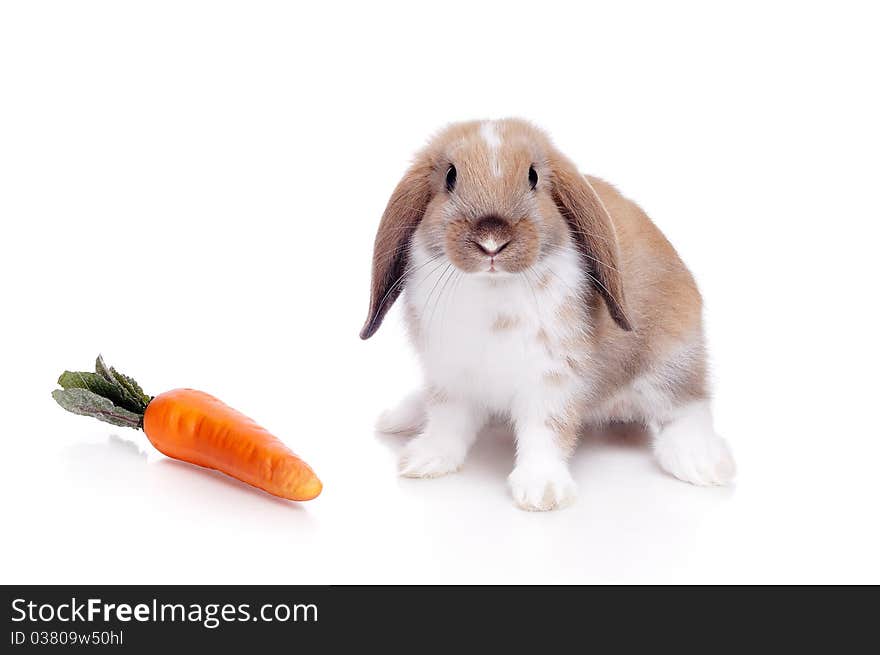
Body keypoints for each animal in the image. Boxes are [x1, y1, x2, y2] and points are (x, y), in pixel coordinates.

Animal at [358, 121, 736, 512]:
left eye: (533, 176)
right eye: (450, 176)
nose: (491, 240)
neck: (492, 289)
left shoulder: (552, 378)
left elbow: (546, 430)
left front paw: (542, 491)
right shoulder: (451, 376)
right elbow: (448, 421)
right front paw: (425, 460)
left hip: (671, 361)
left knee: (688, 406)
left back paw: (701, 462)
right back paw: (398, 418)